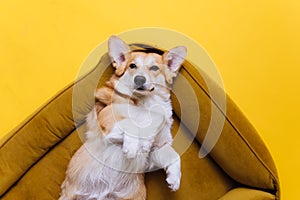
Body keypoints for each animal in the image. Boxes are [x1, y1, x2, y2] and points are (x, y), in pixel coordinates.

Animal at [59, 35, 186, 199]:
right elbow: (130, 124)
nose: (139, 79)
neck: (147, 102)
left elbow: (174, 155)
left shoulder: (157, 147)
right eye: (132, 66)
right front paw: (131, 147)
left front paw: (174, 179)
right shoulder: (107, 122)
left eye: (154, 68)